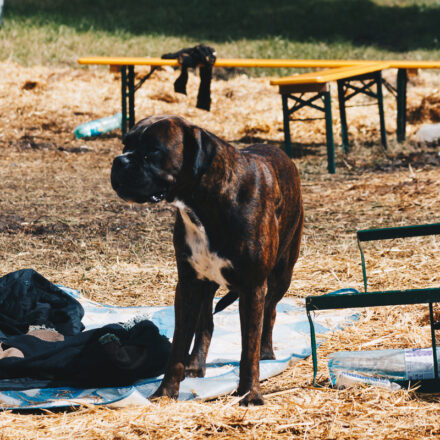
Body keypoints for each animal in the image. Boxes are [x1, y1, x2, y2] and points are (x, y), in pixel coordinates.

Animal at [111, 114, 302, 406]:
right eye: (125, 144)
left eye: (152, 151)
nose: (119, 161)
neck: (202, 205)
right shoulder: (188, 285)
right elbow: (178, 345)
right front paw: (166, 392)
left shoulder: (253, 288)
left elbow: (248, 349)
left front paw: (250, 393)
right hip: (206, 285)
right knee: (206, 324)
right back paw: (196, 363)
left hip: (281, 274)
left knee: (269, 312)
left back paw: (267, 351)